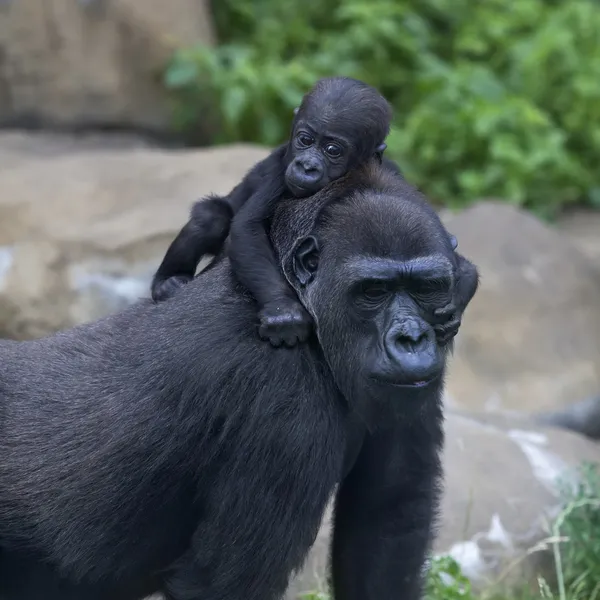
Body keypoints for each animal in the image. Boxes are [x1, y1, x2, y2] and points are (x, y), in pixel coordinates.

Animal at [0, 162, 478, 596]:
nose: (411, 339)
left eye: (427, 288)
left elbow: (387, 517)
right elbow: (223, 584)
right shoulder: (283, 398)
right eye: (373, 292)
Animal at [152, 76, 392, 346]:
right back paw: (166, 281)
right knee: (210, 219)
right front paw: (283, 310)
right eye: (305, 140)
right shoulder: (281, 171)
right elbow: (247, 227)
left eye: (332, 150)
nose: (306, 166)